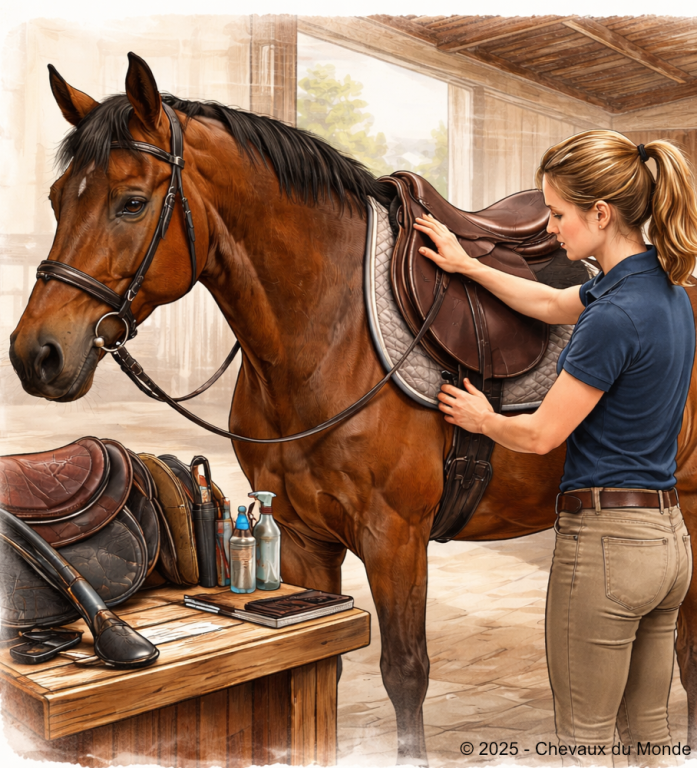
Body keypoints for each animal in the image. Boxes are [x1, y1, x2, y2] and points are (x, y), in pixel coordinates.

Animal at [9, 53, 697, 765]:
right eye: (58, 198)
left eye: (132, 202)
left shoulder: (395, 538)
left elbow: (405, 673)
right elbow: (324, 661)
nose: (38, 354)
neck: (328, 335)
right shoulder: (304, 539)